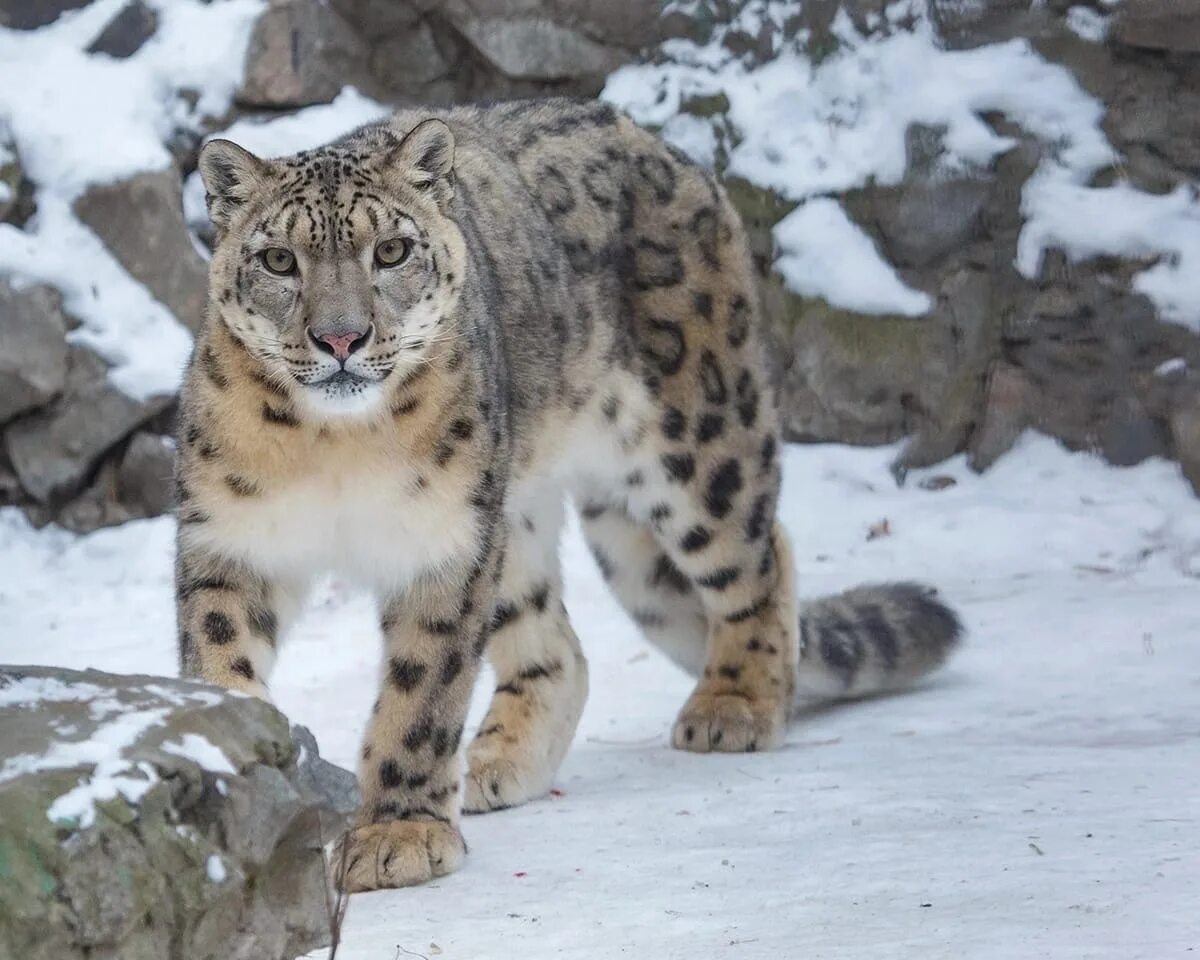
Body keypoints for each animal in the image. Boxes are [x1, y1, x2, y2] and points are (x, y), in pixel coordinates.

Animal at [174, 97, 960, 892]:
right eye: (279, 259)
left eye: (390, 251)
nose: (342, 339)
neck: (334, 447)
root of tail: (666, 147)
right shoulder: (229, 540)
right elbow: (219, 664)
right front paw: (240, 784)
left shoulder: (444, 545)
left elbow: (422, 695)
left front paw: (399, 834)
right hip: (523, 518)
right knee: (560, 644)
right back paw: (495, 763)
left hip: (698, 445)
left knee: (760, 555)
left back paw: (735, 705)